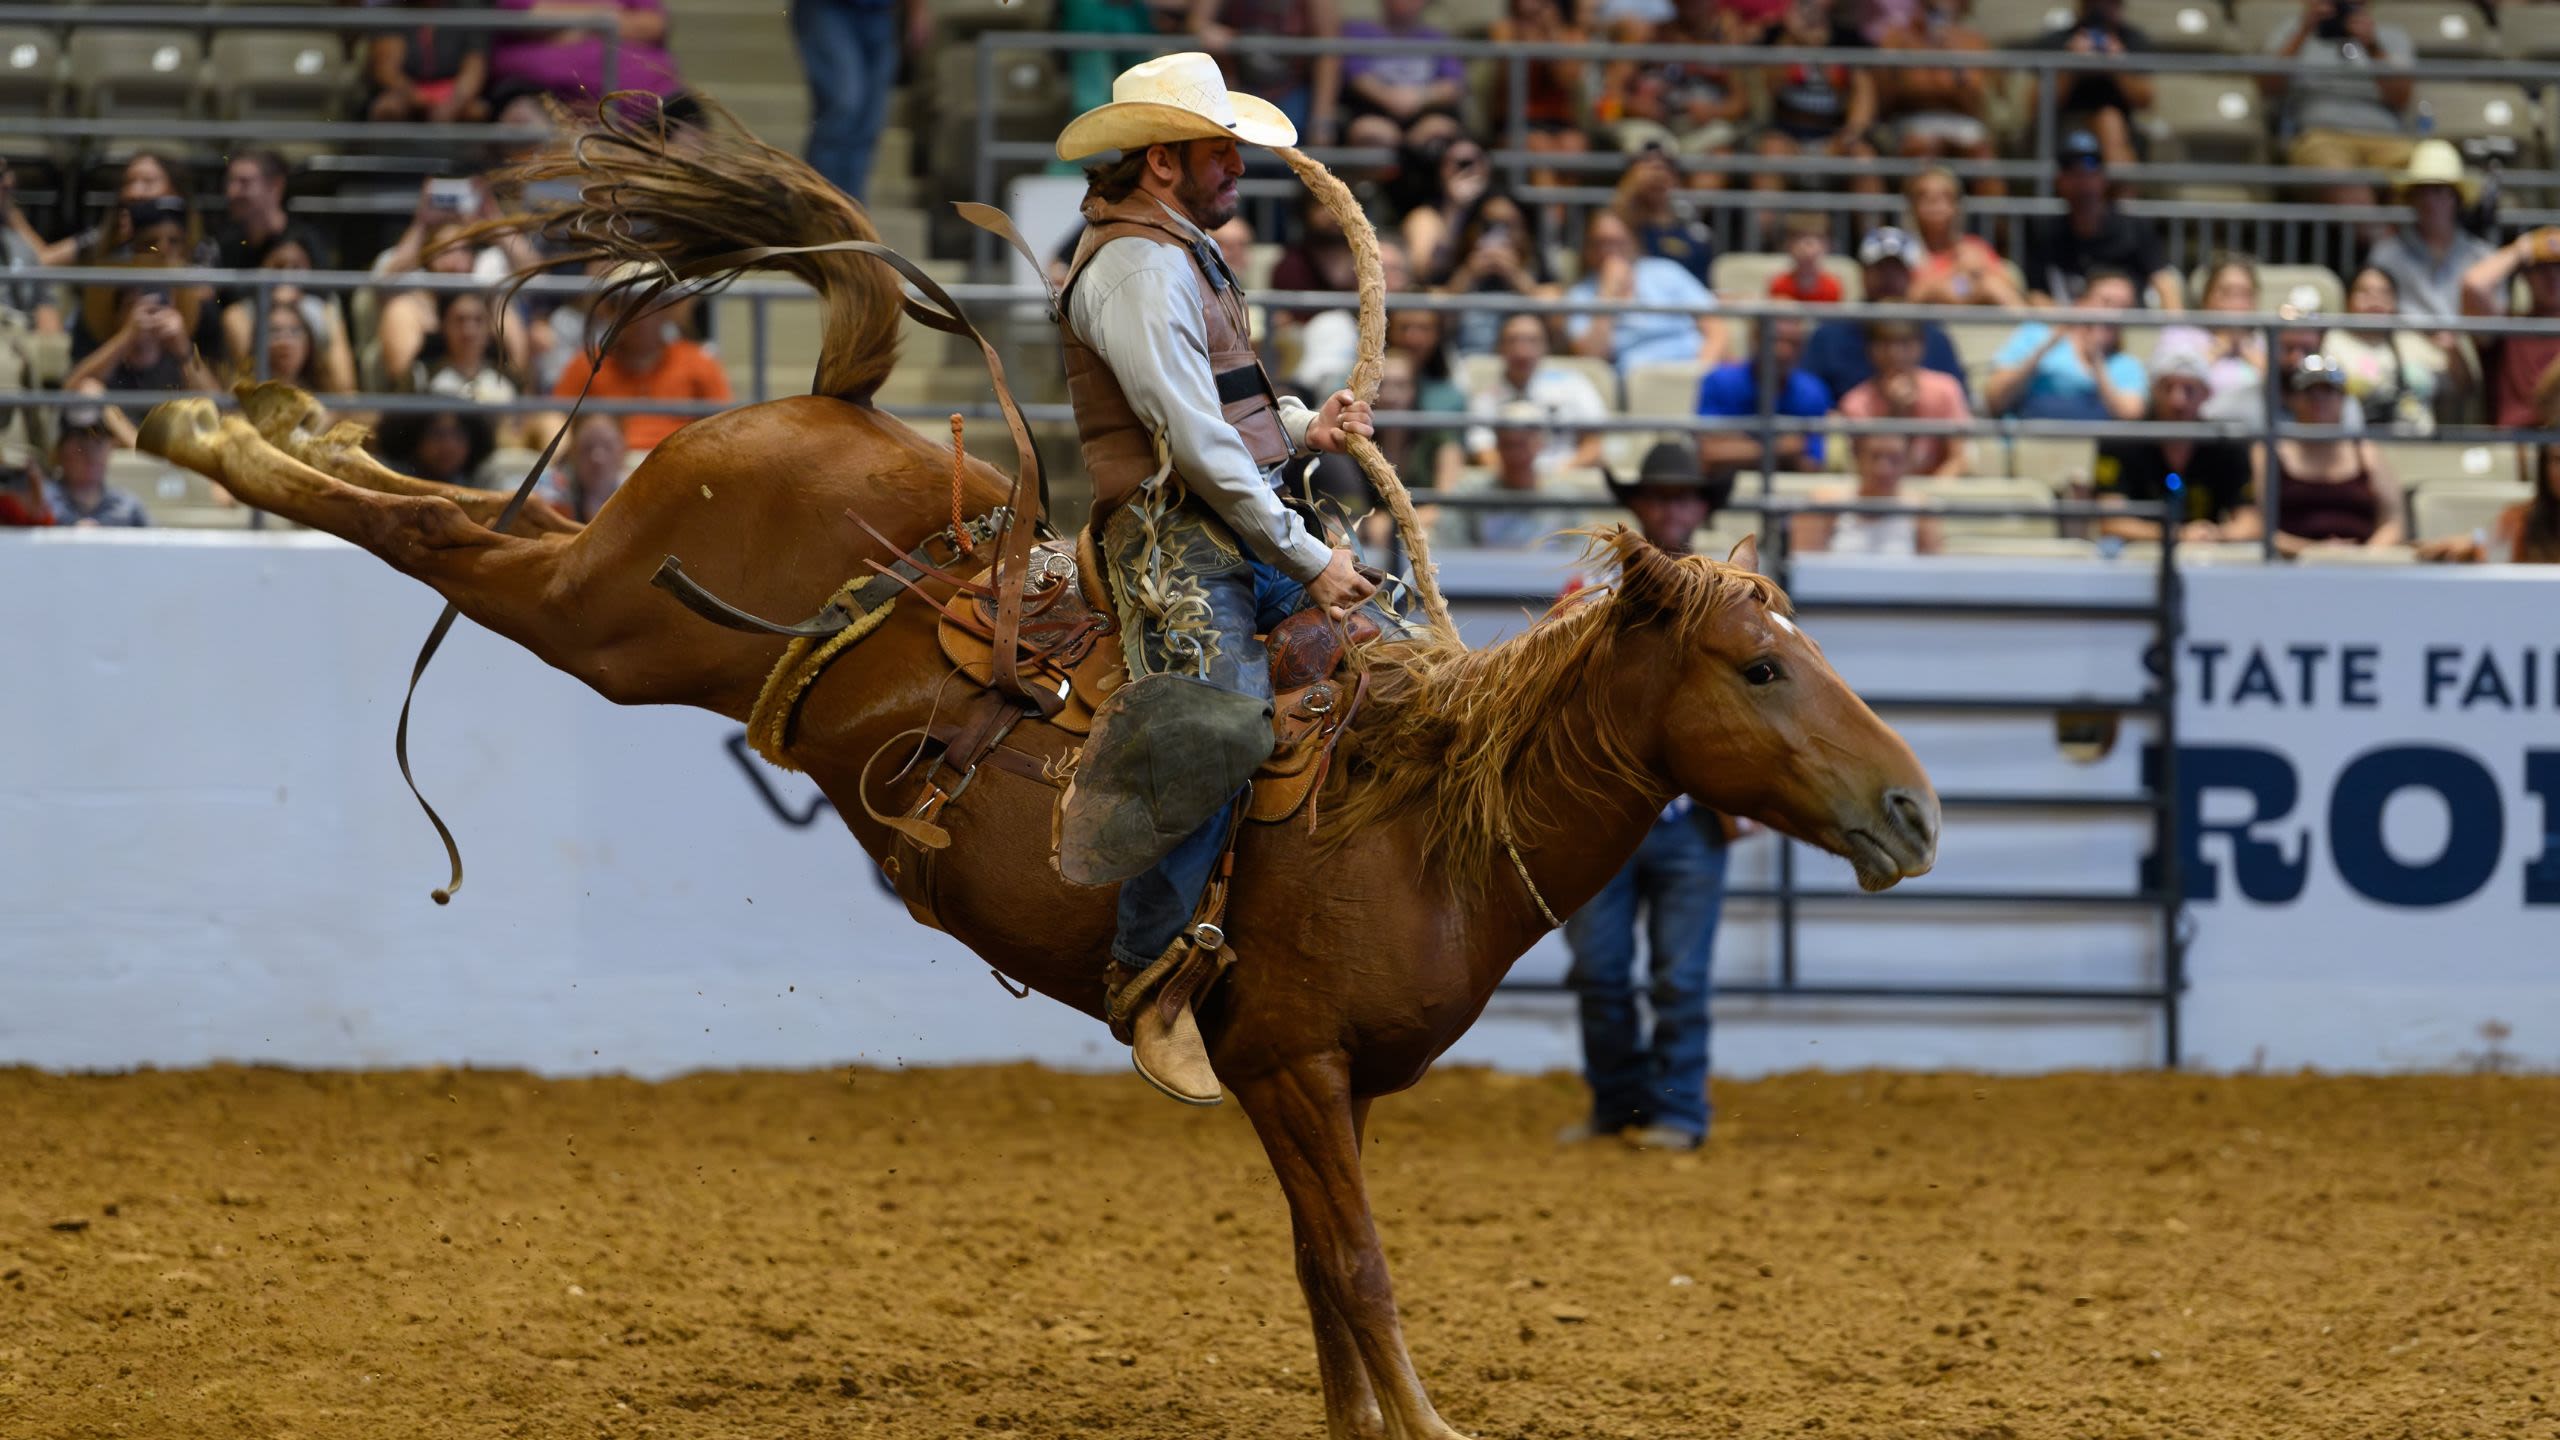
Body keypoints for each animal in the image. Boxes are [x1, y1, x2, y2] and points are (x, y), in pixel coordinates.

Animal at [135, 108, 1940, 1440]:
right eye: (1761, 666)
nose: (1912, 807)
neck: (1415, 817)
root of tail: (832, 408)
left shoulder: (1311, 1085)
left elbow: (1320, 1274)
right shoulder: (1293, 1068)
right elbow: (1360, 1272)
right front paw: (1427, 1427)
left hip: (614, 601)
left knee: (448, 517)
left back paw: (263, 412)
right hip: (610, 617)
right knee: (442, 537)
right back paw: (211, 432)